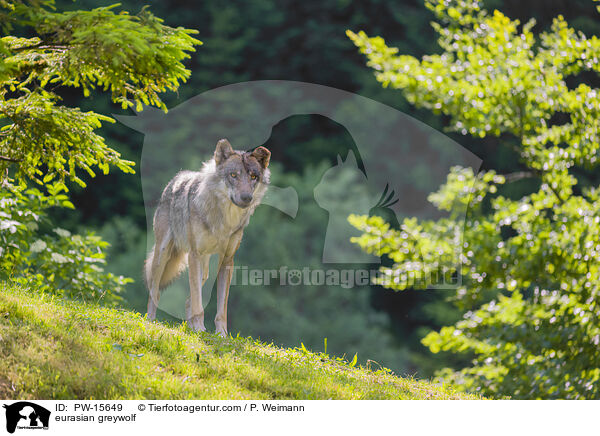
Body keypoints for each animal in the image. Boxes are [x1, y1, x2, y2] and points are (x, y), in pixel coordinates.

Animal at [144, 138, 270, 336]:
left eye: (253, 177)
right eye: (233, 175)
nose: (246, 198)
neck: (225, 220)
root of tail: (177, 177)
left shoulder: (227, 261)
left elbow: (221, 309)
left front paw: (221, 335)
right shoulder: (194, 255)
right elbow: (198, 303)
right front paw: (199, 329)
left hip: (206, 271)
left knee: (188, 299)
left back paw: (189, 327)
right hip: (163, 254)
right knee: (155, 291)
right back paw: (151, 319)